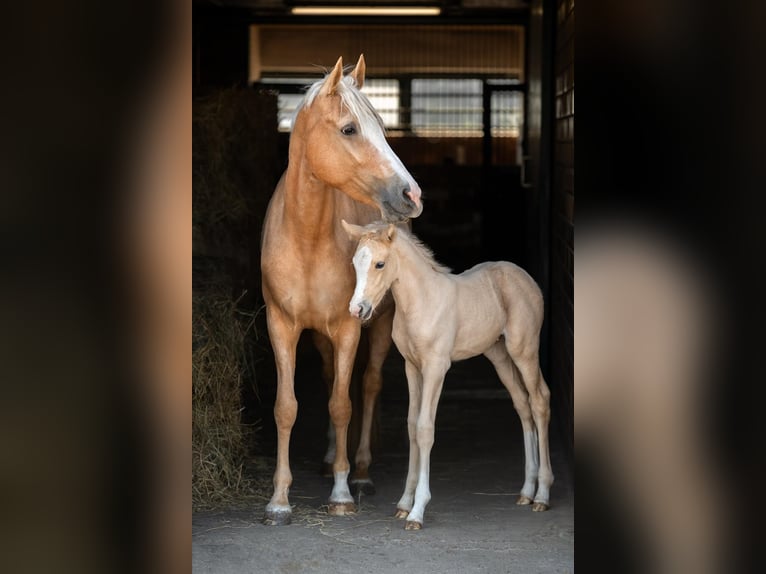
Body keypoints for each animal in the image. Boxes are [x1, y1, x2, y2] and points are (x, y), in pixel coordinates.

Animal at [260, 55, 422, 525]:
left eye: (382, 127)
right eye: (349, 129)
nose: (411, 194)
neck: (306, 237)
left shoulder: (349, 328)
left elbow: (342, 405)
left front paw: (342, 492)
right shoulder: (281, 326)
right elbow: (286, 407)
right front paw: (279, 500)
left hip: (379, 325)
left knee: (366, 386)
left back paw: (361, 471)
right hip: (319, 336)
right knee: (334, 377)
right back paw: (332, 455)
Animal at [342, 220, 553, 530]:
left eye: (380, 263)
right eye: (355, 263)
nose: (357, 309)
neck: (421, 302)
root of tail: (528, 279)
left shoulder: (436, 367)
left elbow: (424, 429)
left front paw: (418, 511)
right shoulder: (412, 367)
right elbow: (411, 426)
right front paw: (404, 504)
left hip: (523, 350)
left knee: (539, 401)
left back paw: (542, 494)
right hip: (499, 355)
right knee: (522, 405)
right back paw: (526, 491)